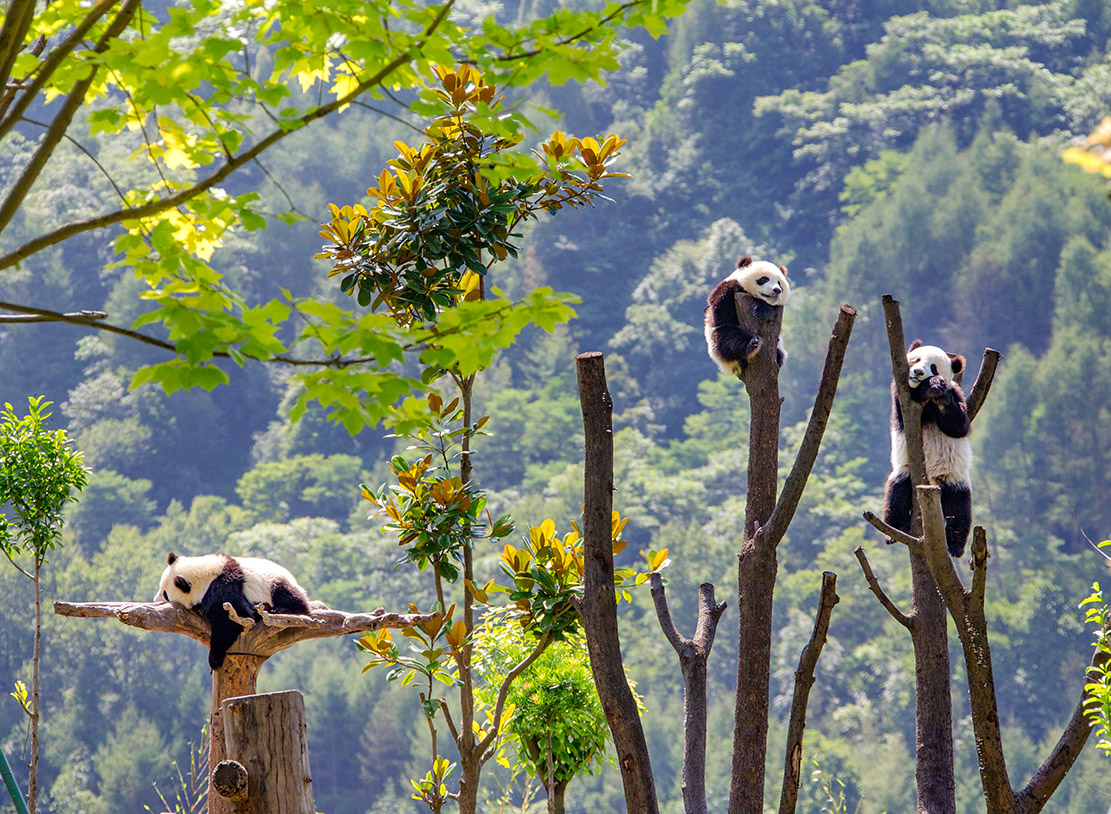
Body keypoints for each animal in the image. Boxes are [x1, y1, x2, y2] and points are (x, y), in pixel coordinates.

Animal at [149, 548, 311, 670]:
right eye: (160, 586)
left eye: (165, 594)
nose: (155, 600)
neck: (204, 575)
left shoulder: (224, 589)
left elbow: (230, 619)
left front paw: (215, 658)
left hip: (274, 584)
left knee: (291, 597)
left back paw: (280, 609)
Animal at [884, 337, 973, 559]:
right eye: (916, 359)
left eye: (934, 367)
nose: (918, 372)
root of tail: (932, 481)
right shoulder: (902, 399)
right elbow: (903, 407)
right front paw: (929, 387)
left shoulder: (957, 394)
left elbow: (958, 426)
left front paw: (939, 392)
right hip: (906, 472)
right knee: (896, 493)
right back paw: (892, 532)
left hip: (954, 479)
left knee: (960, 508)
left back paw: (955, 547)